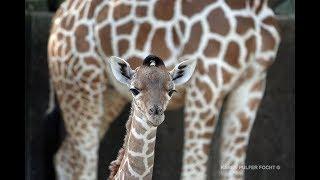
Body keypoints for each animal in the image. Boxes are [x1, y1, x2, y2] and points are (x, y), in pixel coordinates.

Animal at [47, 0, 280, 179]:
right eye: (135, 89)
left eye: (172, 91)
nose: (156, 113)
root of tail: (57, 20)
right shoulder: (208, 81)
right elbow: (193, 170)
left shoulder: (253, 83)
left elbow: (233, 169)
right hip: (79, 81)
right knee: (83, 158)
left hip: (108, 94)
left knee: (66, 157)